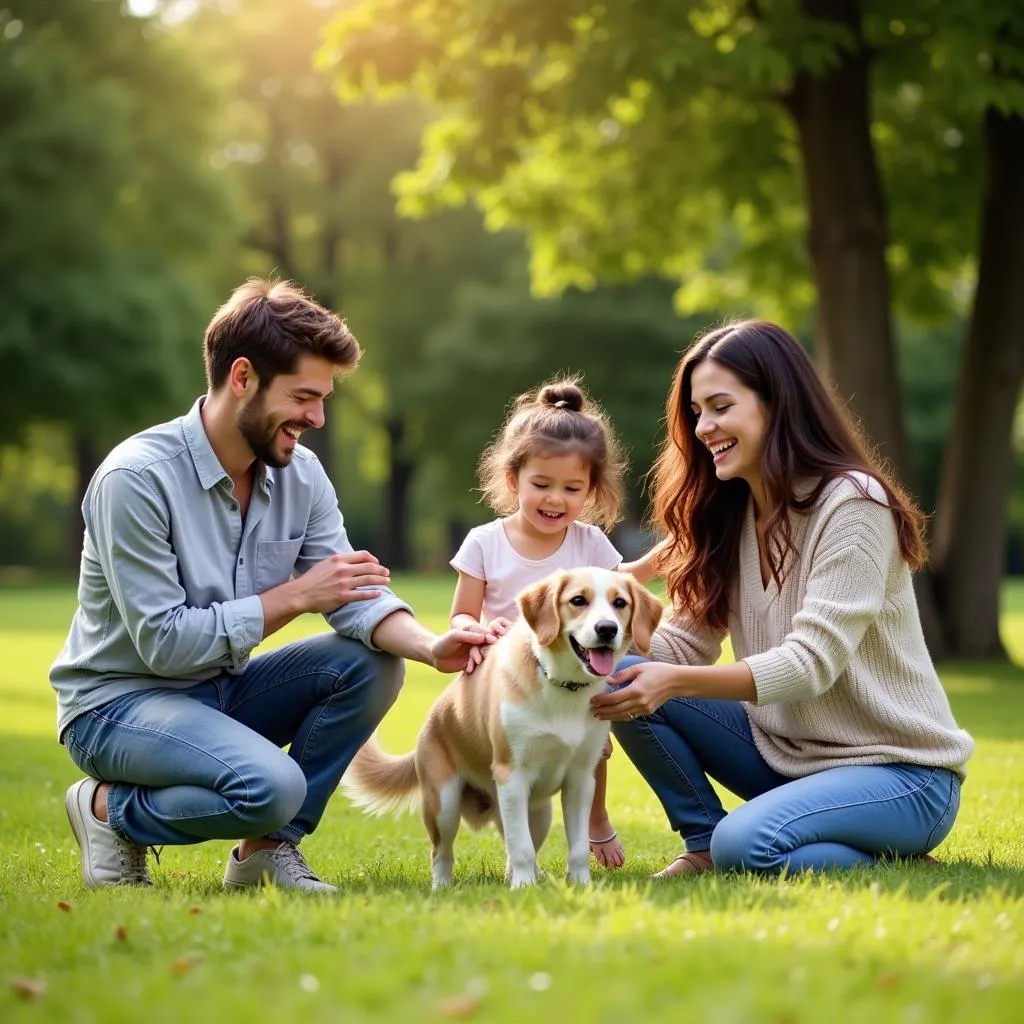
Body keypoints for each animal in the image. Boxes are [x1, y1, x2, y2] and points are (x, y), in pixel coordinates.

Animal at [344, 569, 663, 888]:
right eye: (578, 600)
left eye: (619, 603)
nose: (607, 629)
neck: (563, 687)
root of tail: (430, 723)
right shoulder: (512, 774)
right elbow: (521, 847)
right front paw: (523, 888)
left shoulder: (581, 779)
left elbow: (577, 847)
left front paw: (580, 885)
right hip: (445, 804)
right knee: (442, 852)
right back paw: (443, 886)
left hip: (539, 812)